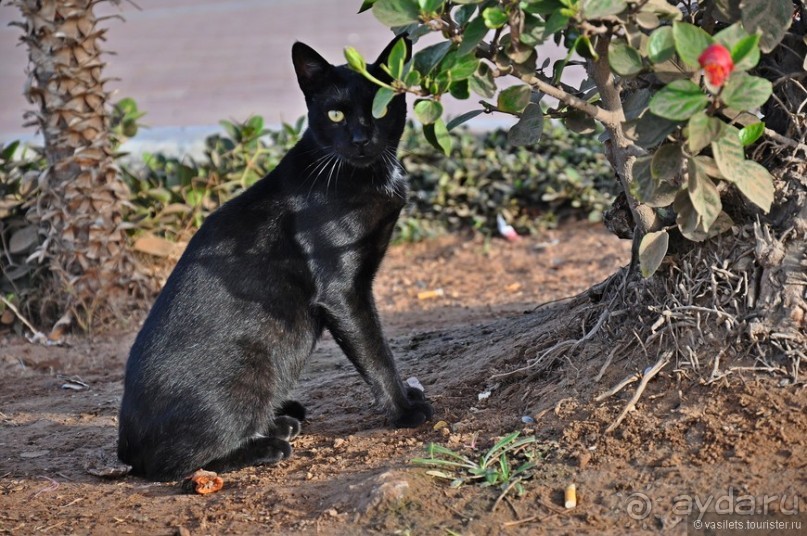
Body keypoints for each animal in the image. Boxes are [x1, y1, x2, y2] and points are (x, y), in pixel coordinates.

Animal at [117, 37, 432, 482]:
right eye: (335, 114)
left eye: (379, 109)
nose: (359, 138)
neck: (362, 175)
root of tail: (125, 446)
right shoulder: (343, 291)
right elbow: (376, 354)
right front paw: (404, 409)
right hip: (253, 367)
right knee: (173, 466)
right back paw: (266, 445)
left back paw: (281, 420)